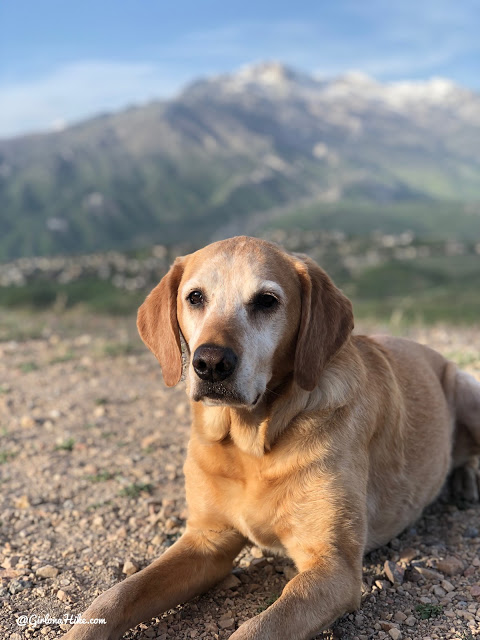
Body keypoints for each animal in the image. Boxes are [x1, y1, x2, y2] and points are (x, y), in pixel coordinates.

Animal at [64, 236, 480, 640]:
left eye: (267, 301)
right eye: (195, 297)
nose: (210, 363)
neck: (252, 443)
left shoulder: (334, 568)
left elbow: (255, 629)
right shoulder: (207, 541)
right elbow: (120, 593)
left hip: (466, 390)